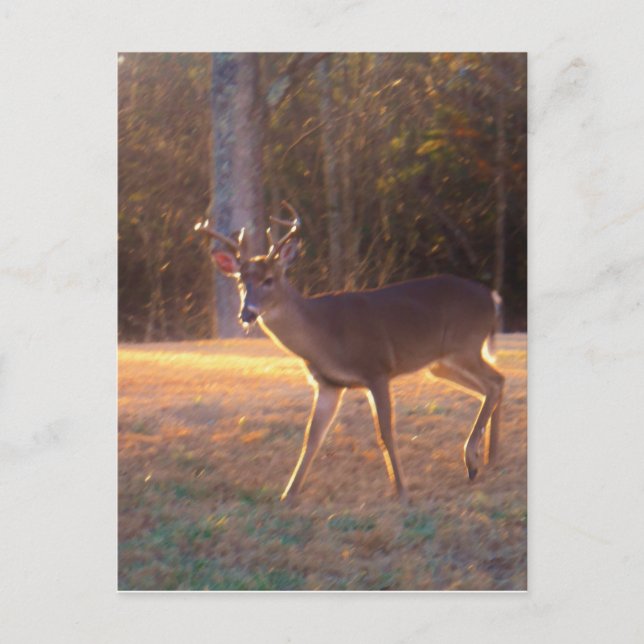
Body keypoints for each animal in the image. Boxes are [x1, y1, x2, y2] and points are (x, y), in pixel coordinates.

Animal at [197, 201, 504, 504]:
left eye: (269, 279)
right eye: (241, 282)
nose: (246, 313)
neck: (325, 335)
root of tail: (492, 298)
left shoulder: (377, 369)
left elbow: (385, 433)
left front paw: (401, 491)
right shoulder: (329, 384)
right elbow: (312, 437)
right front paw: (289, 494)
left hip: (464, 345)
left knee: (495, 382)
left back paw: (473, 460)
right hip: (441, 364)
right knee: (491, 385)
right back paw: (489, 458)